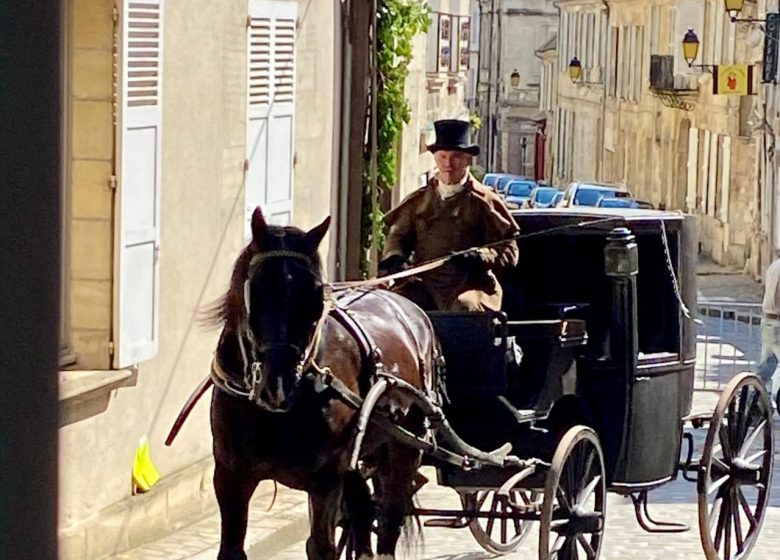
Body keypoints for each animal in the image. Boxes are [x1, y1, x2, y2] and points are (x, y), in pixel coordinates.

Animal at [206, 209, 438, 560]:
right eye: (257, 290)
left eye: (315, 298)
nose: (277, 385)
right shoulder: (231, 476)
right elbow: (232, 549)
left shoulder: (325, 479)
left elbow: (321, 547)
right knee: (363, 513)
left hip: (403, 451)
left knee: (388, 523)